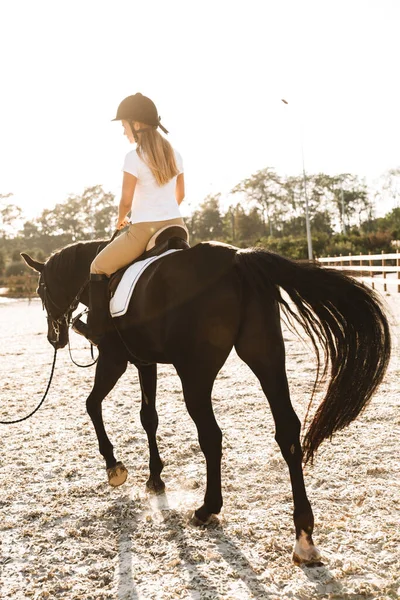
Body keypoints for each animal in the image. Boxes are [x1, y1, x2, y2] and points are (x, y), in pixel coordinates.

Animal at [21, 238, 390, 564]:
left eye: (40, 291)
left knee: (211, 435)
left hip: (195, 374)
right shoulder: (145, 362)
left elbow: (92, 404)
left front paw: (114, 467)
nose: (55, 338)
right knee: (286, 431)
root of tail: (237, 259)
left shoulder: (115, 360)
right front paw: (155, 479)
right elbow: (148, 417)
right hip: (265, 356)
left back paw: (207, 508)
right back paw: (304, 537)